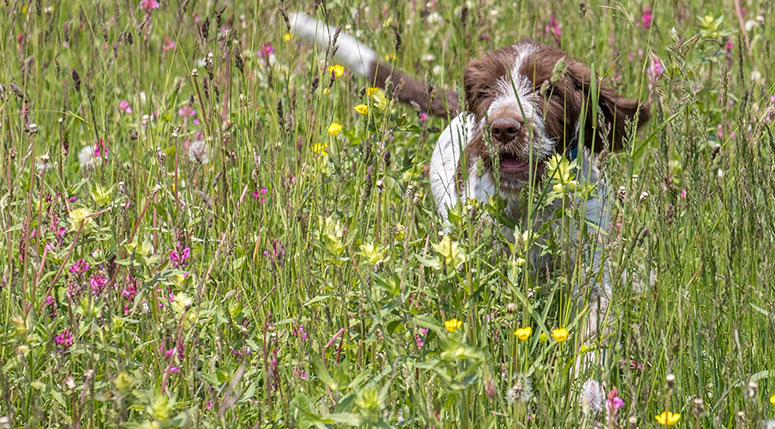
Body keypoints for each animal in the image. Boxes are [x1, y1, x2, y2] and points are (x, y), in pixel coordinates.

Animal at [294, 11, 652, 342]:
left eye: (548, 90)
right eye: (485, 90)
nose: (504, 128)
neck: (527, 201)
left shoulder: (588, 263)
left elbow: (593, 325)